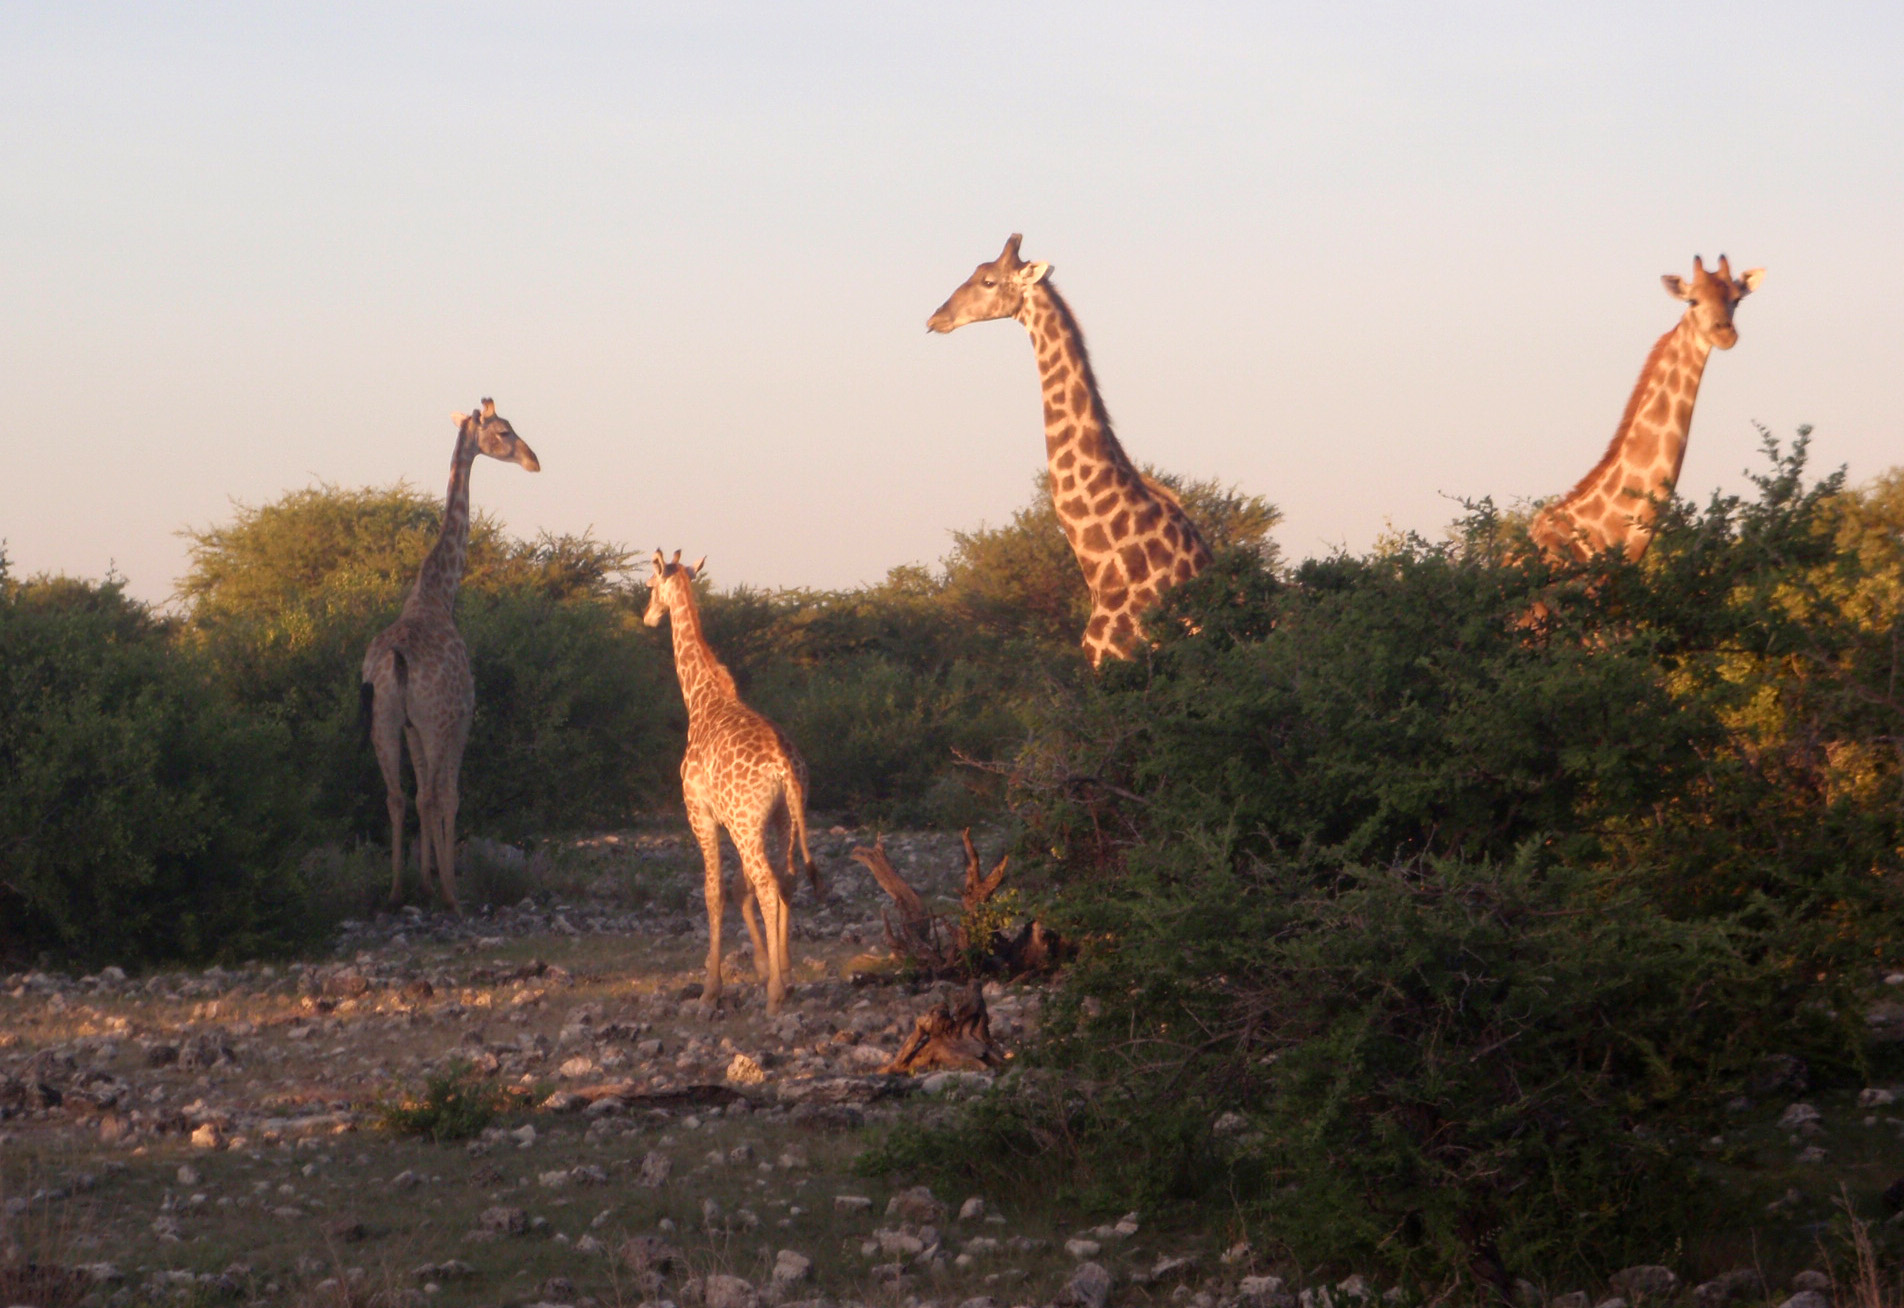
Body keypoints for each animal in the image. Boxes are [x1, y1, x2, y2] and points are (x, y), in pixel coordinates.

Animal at [360, 399, 540, 913]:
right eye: (504, 430)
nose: (533, 461)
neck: (438, 595)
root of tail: (395, 657)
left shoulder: (410, 725)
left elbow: (421, 792)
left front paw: (423, 877)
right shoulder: (461, 715)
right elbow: (449, 795)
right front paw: (445, 882)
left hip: (383, 720)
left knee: (397, 795)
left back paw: (397, 890)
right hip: (436, 719)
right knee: (433, 794)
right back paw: (450, 895)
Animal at [644, 550, 820, 1016]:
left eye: (648, 585)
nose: (648, 617)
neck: (702, 698)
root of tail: (785, 768)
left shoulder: (700, 813)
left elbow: (713, 891)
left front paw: (711, 988)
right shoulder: (734, 819)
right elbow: (738, 888)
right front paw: (762, 965)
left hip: (746, 823)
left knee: (766, 881)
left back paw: (775, 993)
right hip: (782, 818)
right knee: (785, 879)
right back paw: (786, 976)